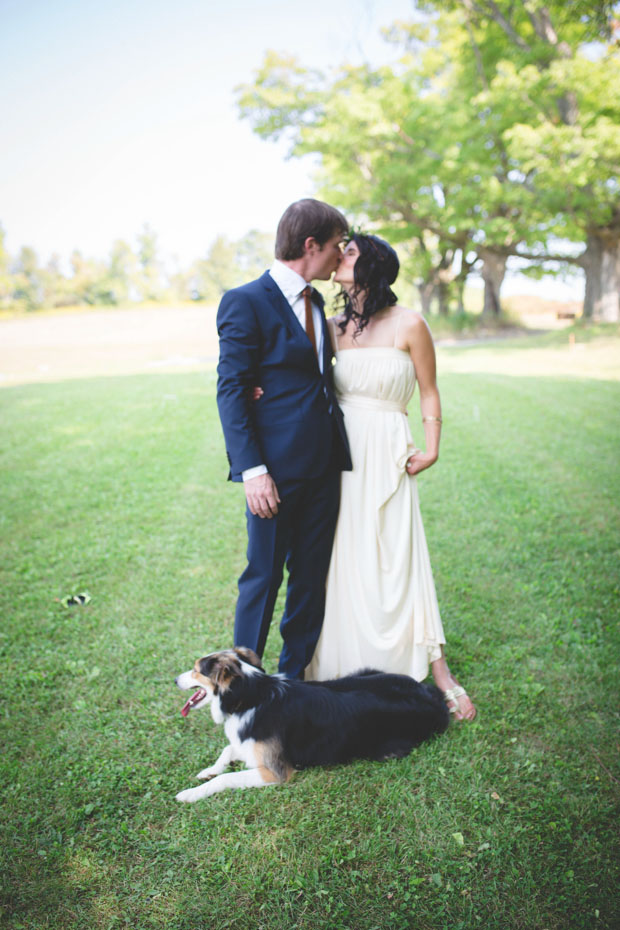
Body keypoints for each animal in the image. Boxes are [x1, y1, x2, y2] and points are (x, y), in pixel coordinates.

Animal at [173, 644, 446, 796]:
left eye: (196, 670)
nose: (175, 680)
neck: (249, 698)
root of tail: (431, 695)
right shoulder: (249, 746)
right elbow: (227, 750)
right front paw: (208, 770)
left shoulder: (275, 771)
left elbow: (226, 778)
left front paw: (190, 794)